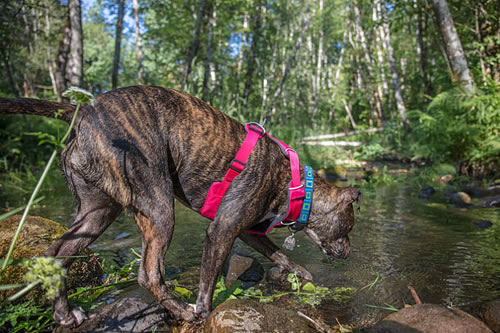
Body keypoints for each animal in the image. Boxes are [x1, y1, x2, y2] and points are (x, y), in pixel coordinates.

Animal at [0, 84, 360, 326]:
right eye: (349, 227)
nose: (349, 253)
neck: (297, 185)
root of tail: (84, 113)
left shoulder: (247, 231)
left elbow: (280, 254)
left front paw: (304, 275)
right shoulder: (222, 230)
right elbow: (207, 280)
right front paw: (204, 311)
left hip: (96, 212)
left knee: (56, 255)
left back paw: (64, 313)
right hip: (158, 207)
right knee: (148, 274)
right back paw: (181, 311)